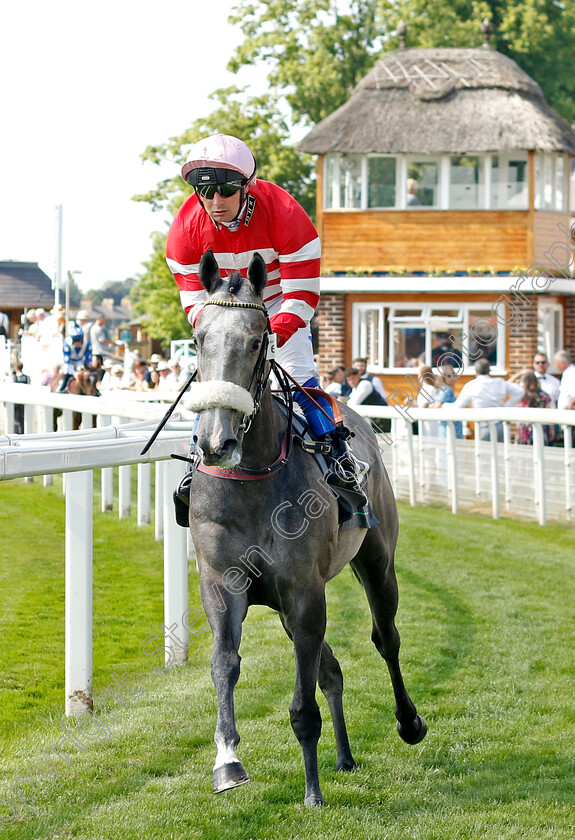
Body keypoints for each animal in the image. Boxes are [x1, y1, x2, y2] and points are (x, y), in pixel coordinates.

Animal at [187, 251, 426, 808]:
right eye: (198, 338)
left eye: (257, 341)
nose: (216, 442)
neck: (250, 479)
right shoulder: (223, 584)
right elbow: (224, 663)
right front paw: (227, 761)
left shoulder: (303, 590)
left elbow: (302, 704)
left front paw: (312, 792)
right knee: (331, 667)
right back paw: (344, 756)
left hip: (376, 562)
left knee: (386, 637)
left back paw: (408, 723)